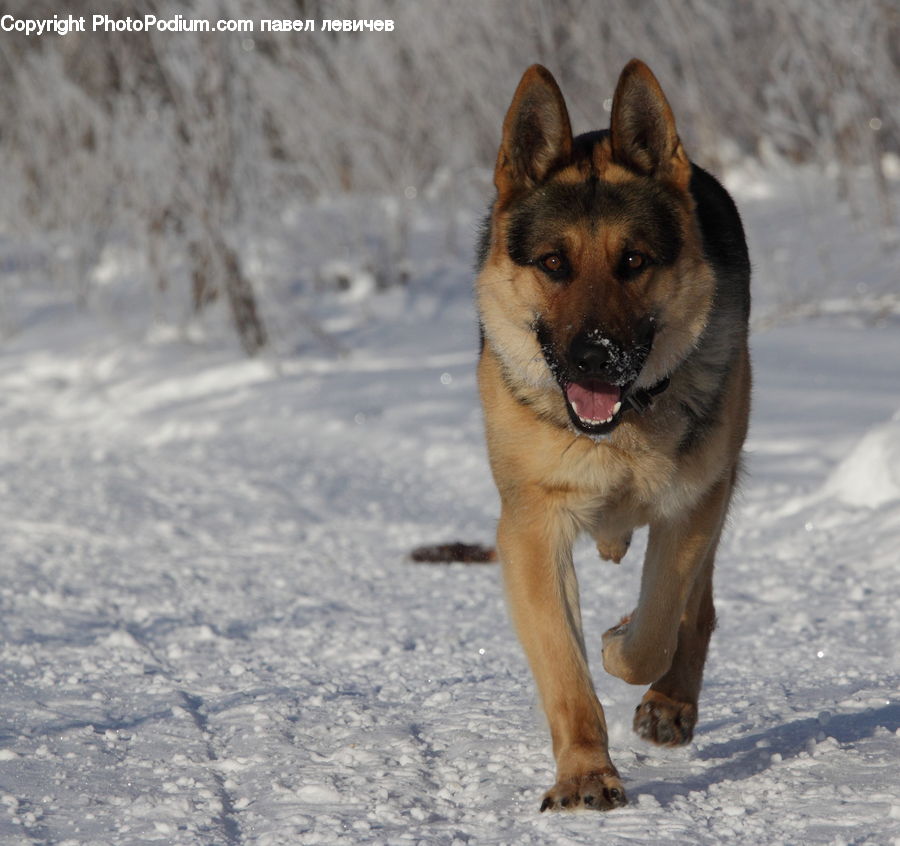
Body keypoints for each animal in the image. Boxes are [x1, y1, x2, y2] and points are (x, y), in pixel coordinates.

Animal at [478, 63, 752, 812]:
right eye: (552, 263)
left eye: (633, 261)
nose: (594, 358)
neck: (616, 430)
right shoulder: (530, 530)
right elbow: (564, 670)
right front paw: (584, 773)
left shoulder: (691, 506)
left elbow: (654, 629)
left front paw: (620, 644)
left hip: (721, 484)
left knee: (699, 610)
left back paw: (671, 702)